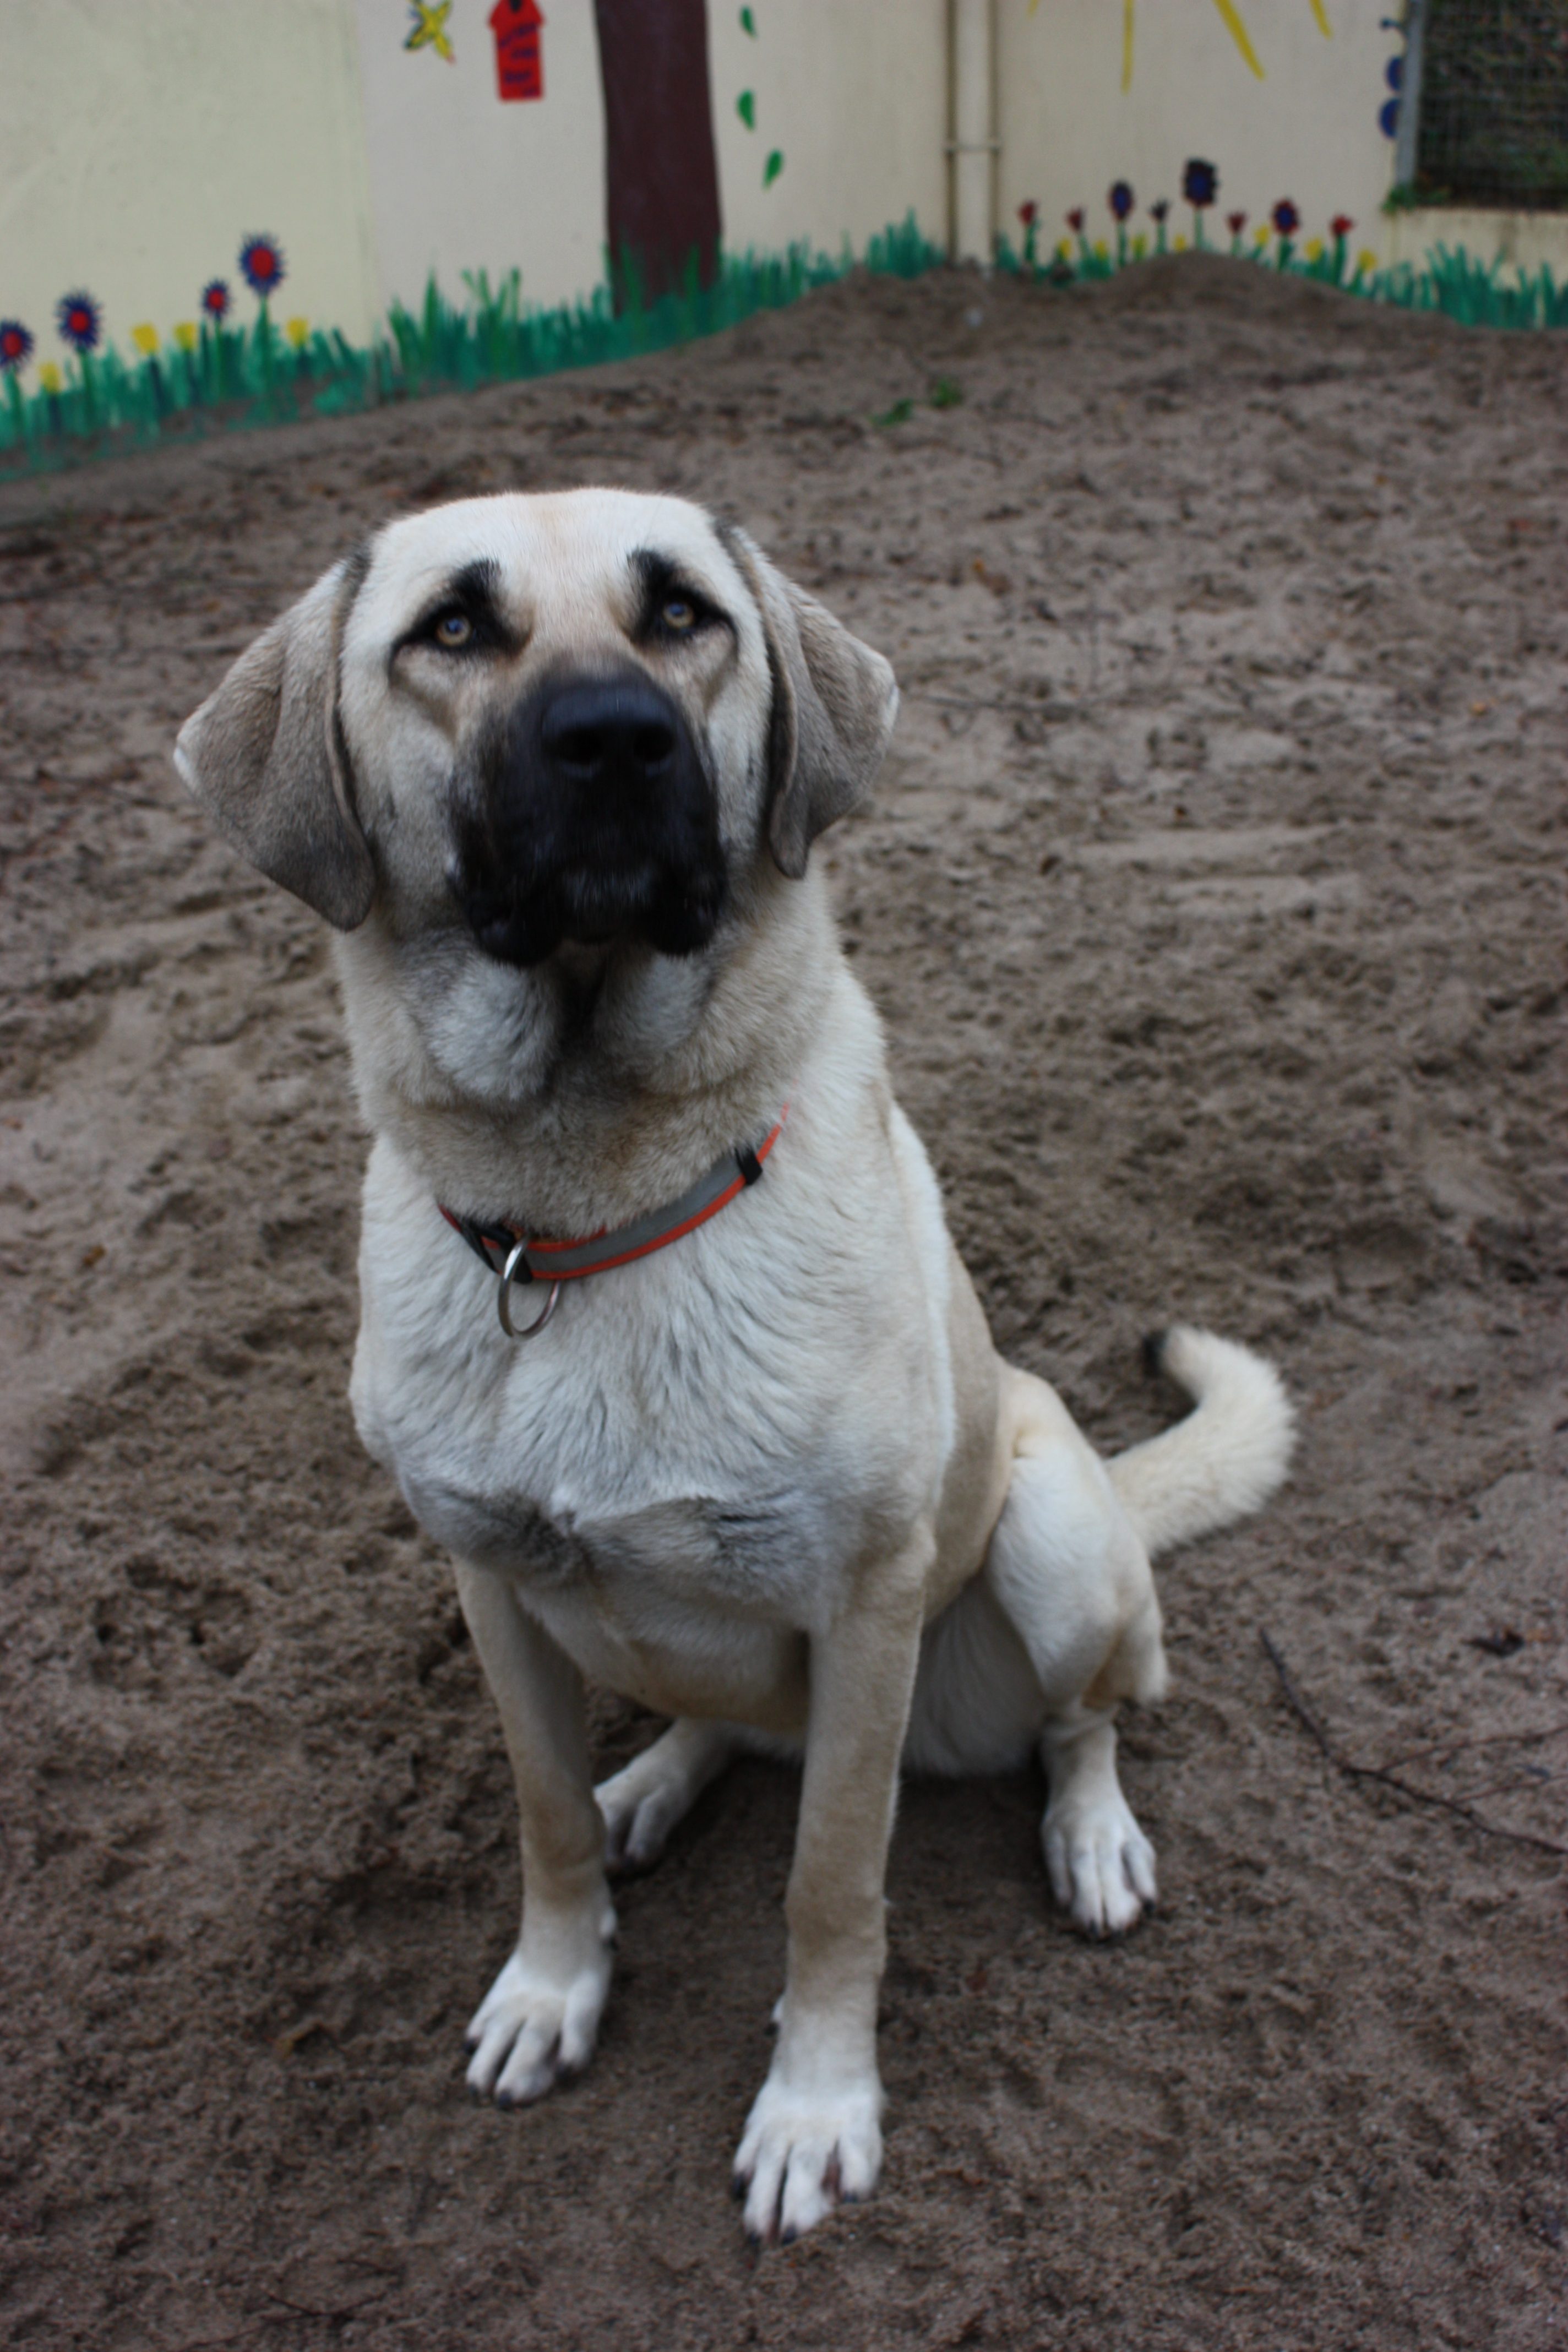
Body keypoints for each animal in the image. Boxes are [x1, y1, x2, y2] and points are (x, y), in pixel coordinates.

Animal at [175, 489, 1293, 2244]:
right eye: (451, 630)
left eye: (682, 614)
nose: (615, 738)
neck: (585, 1216)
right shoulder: (489, 1582)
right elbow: (544, 1816)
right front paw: (553, 1984)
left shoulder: (866, 1600)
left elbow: (831, 1882)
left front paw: (815, 2104)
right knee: (710, 1719)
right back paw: (655, 1780)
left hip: (1048, 1539)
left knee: (1087, 1716)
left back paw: (1091, 1834)